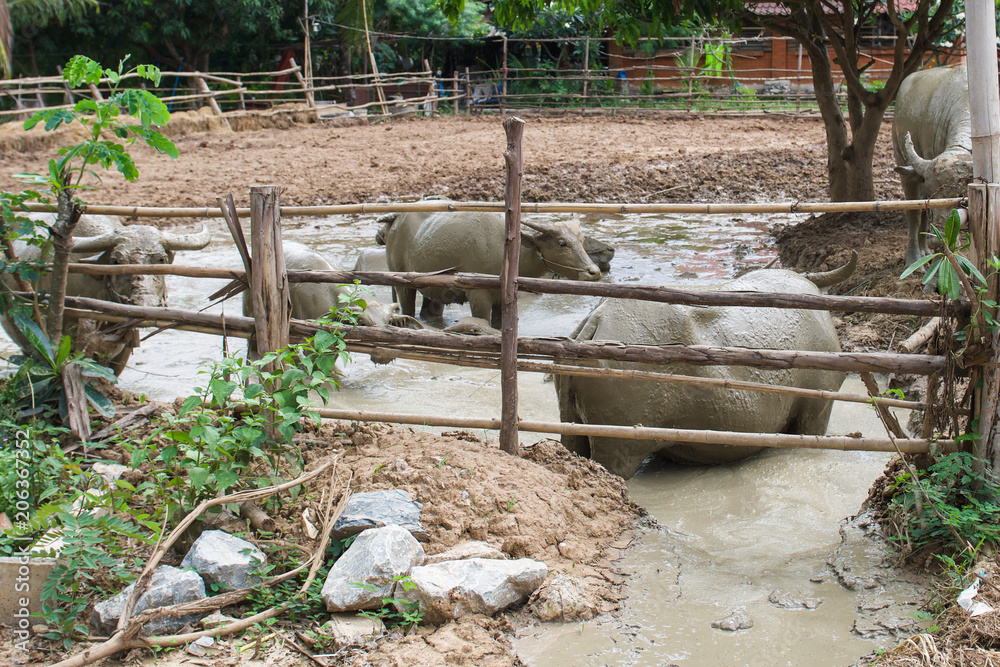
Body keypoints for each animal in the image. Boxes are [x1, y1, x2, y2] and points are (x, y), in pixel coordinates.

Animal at [382, 210, 600, 328]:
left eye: (581, 240)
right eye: (562, 243)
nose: (594, 272)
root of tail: (395, 224)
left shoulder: (500, 300)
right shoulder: (479, 296)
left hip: (432, 290)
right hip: (402, 284)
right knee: (407, 307)